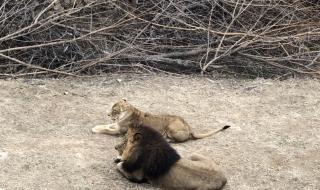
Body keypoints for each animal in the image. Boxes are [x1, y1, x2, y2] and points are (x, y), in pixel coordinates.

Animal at [92, 99, 230, 142]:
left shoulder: (120, 131)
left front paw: (95, 130)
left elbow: (106, 130)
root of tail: (189, 127)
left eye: (114, 110)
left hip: (171, 127)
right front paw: (96, 126)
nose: (108, 114)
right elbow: (106, 125)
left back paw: (167, 139)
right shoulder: (117, 125)